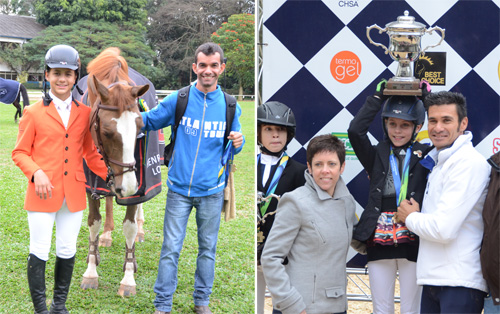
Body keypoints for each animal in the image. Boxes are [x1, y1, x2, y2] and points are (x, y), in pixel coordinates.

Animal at [80, 47, 149, 296]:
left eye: (140, 128)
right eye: (108, 132)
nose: (128, 186)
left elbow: (129, 226)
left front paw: (128, 278)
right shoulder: (90, 184)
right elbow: (94, 221)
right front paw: (91, 271)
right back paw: (107, 235)